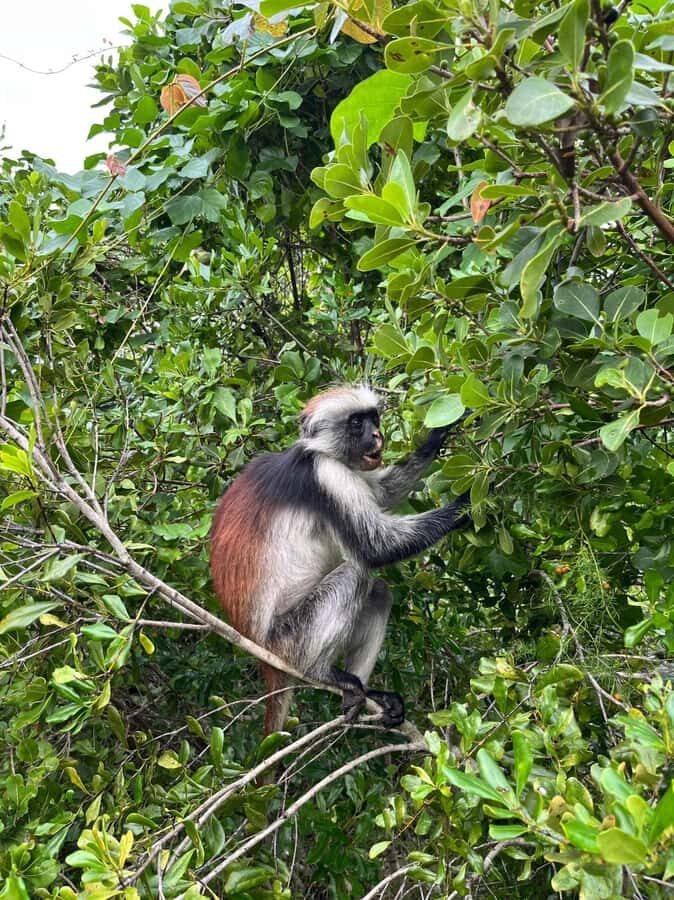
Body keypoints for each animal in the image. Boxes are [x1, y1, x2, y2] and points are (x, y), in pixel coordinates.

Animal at [210, 386, 470, 734]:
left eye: (374, 418)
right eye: (356, 423)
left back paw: (367, 695)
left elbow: (383, 492)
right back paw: (323, 673)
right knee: (357, 574)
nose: (377, 435)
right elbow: (377, 547)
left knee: (378, 591)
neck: (313, 451)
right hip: (290, 639)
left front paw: (438, 434)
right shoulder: (326, 474)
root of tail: (262, 652)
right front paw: (466, 505)